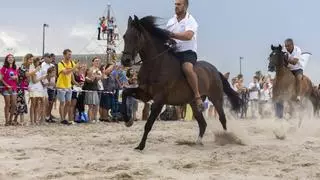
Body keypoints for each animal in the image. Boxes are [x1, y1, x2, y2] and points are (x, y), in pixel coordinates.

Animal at [120, 15, 242, 150]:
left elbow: (148, 124)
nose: (125, 60)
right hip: (194, 103)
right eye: (124, 36)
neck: (156, 64)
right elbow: (125, 92)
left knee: (222, 118)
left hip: (216, 99)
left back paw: (227, 138)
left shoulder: (159, 100)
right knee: (203, 123)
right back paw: (198, 142)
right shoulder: (145, 94)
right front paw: (128, 120)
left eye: (136, 36)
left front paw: (141, 146)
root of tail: (215, 70)